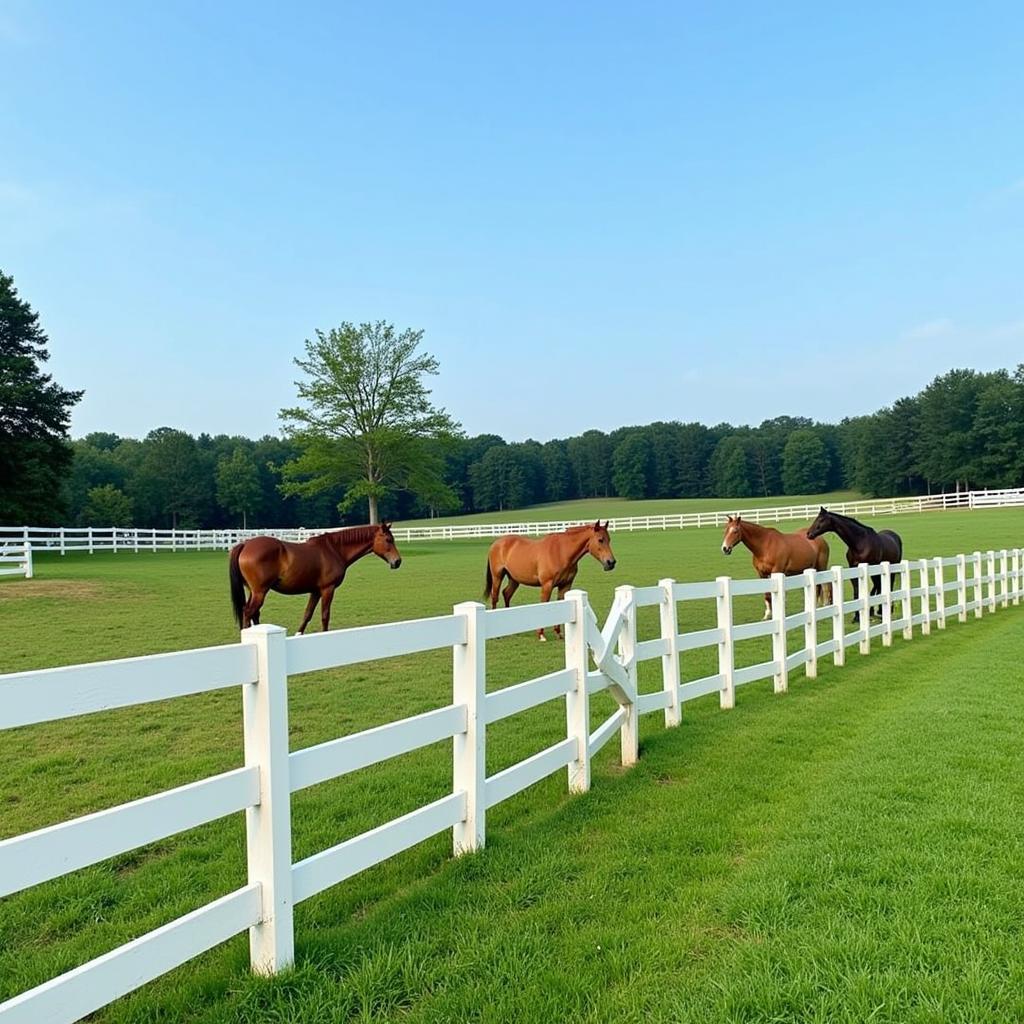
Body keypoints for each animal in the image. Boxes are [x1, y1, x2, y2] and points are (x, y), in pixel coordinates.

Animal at [230, 524, 401, 634]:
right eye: (388, 540)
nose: (398, 561)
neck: (333, 549)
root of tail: (245, 545)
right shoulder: (327, 589)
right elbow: (325, 615)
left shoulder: (315, 591)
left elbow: (308, 614)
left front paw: (299, 634)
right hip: (260, 592)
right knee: (248, 612)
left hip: (254, 592)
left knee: (254, 613)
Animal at [485, 520, 618, 638]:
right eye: (600, 540)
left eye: (609, 540)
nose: (611, 562)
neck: (561, 552)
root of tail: (496, 543)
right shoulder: (547, 585)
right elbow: (544, 604)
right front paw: (541, 634)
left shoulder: (565, 585)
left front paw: (558, 633)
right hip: (497, 577)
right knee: (495, 596)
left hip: (514, 580)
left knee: (506, 594)